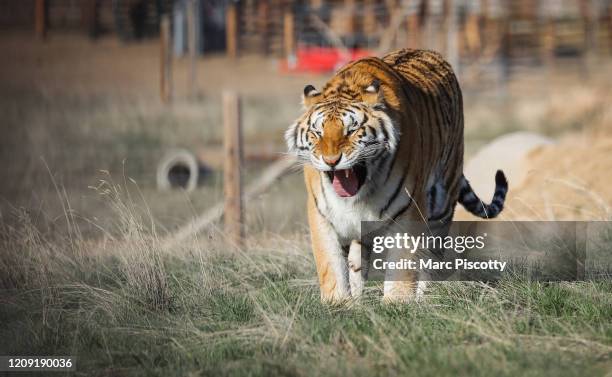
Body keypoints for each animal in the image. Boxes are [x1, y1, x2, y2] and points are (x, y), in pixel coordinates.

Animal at [286, 49, 506, 302]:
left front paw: (397, 302)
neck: (360, 195)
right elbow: (331, 264)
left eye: (351, 130)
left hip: (442, 203)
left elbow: (403, 263)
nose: (331, 161)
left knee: (433, 256)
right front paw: (339, 303)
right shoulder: (322, 215)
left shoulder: (408, 210)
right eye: (317, 132)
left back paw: (423, 298)